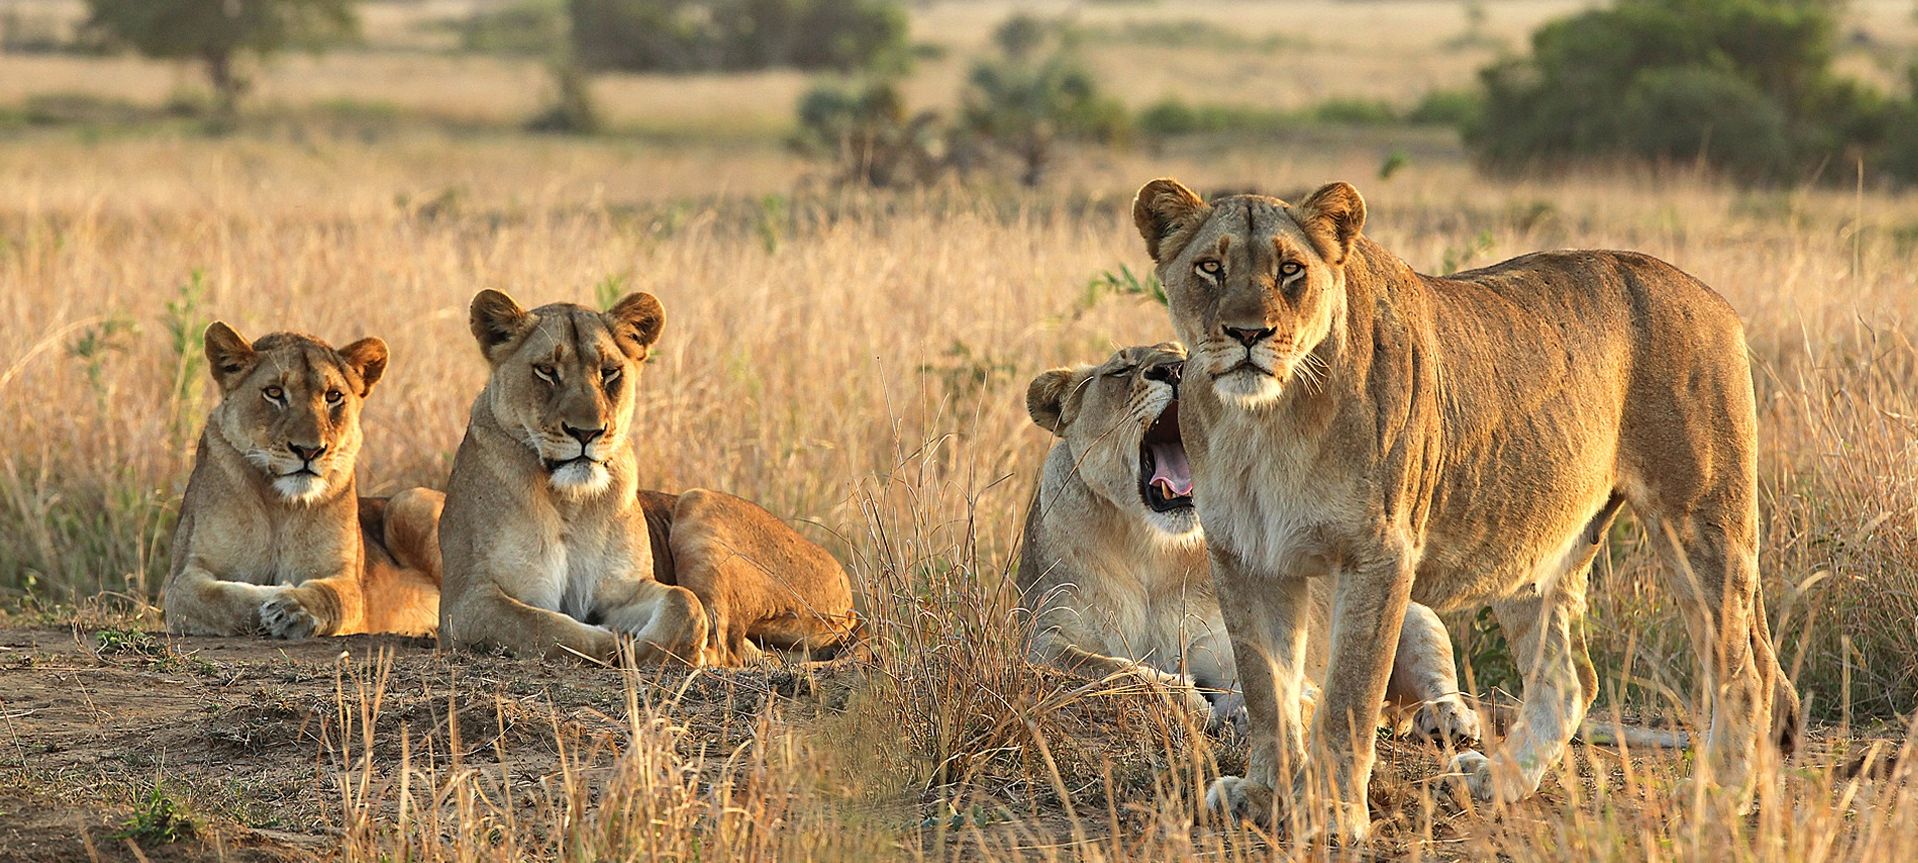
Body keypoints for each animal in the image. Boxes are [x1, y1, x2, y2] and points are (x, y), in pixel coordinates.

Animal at [163, 324, 444, 639]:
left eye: (333, 396)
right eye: (274, 392)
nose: (309, 450)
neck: (280, 506)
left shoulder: (347, 580)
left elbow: (332, 597)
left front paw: (293, 606)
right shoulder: (184, 577)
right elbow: (221, 600)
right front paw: (273, 596)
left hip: (408, 502)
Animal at [435, 289, 862, 665]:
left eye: (610, 373)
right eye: (546, 371)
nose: (587, 432)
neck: (570, 499)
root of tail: (847, 591)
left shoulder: (621, 589)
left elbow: (684, 603)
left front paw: (651, 645)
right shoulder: (466, 604)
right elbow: (547, 627)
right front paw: (617, 642)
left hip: (698, 501)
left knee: (730, 645)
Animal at [1020, 343, 1481, 747]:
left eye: (1187, 353)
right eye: (1120, 370)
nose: (1175, 370)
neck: (1155, 550)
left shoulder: (1233, 648)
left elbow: (1272, 685)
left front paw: (1255, 712)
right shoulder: (1041, 638)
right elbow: (1106, 667)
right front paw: (1186, 698)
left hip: (1413, 615)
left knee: (1436, 678)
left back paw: (1449, 720)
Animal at [1129, 177, 1800, 839]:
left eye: (1290, 269)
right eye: (1210, 267)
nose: (1248, 334)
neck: (1262, 421)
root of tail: (1715, 300)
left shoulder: (1379, 554)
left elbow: (1349, 694)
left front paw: (1333, 812)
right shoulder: (1244, 558)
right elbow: (1266, 687)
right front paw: (1264, 796)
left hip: (1701, 523)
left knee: (1745, 676)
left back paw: (1719, 794)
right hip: (1539, 545)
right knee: (1569, 678)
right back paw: (1497, 780)